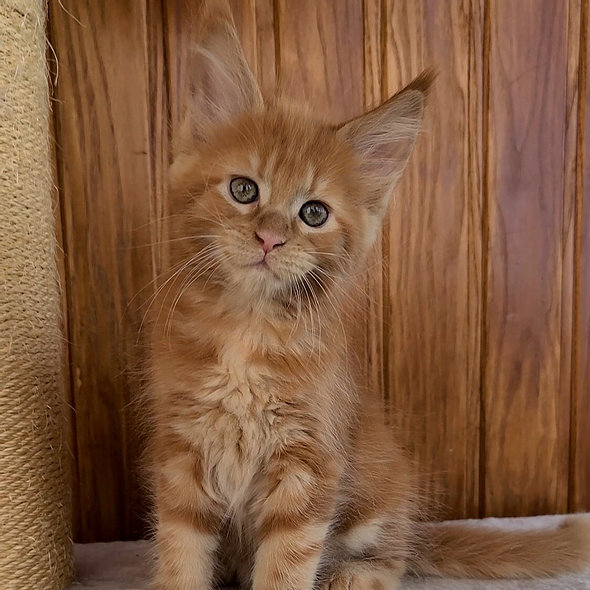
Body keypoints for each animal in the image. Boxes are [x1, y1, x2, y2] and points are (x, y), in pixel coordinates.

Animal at [148, 2, 590, 588]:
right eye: (244, 189)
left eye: (314, 213)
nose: (269, 238)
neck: (248, 328)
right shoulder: (181, 453)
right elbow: (180, 558)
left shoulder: (310, 466)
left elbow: (285, 567)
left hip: (379, 495)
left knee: (393, 561)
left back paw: (350, 575)